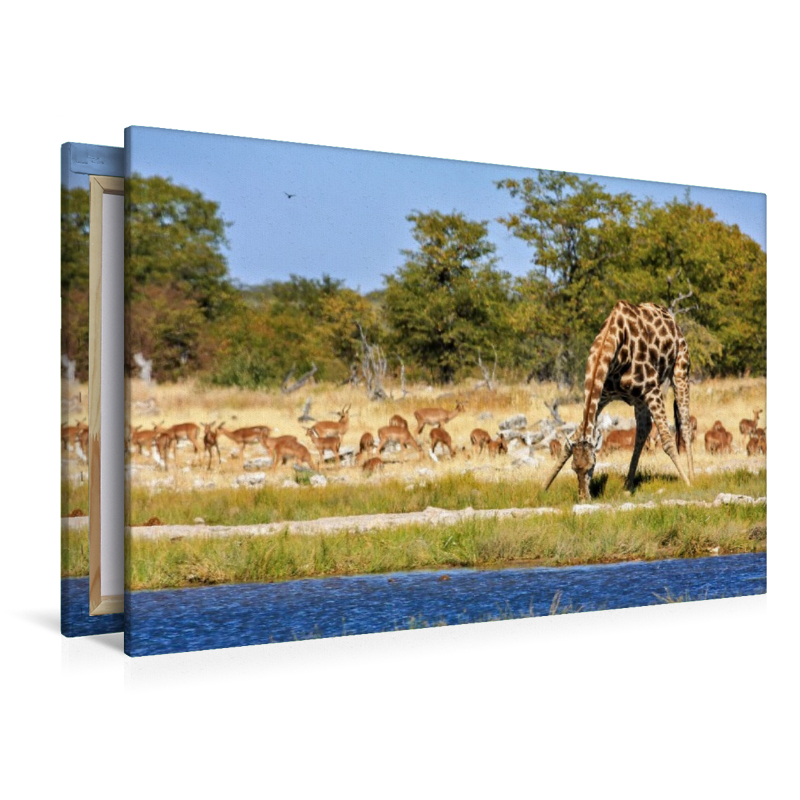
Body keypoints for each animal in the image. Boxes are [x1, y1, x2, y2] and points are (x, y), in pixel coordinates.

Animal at [544, 301, 695, 501]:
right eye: (574, 468)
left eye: (592, 466)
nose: (584, 498)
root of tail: (671, 320)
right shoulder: (603, 396)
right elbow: (571, 441)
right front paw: (543, 486)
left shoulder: (652, 388)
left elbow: (667, 440)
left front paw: (687, 483)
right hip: (639, 398)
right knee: (643, 429)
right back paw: (628, 485)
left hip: (680, 369)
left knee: (684, 423)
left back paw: (692, 476)